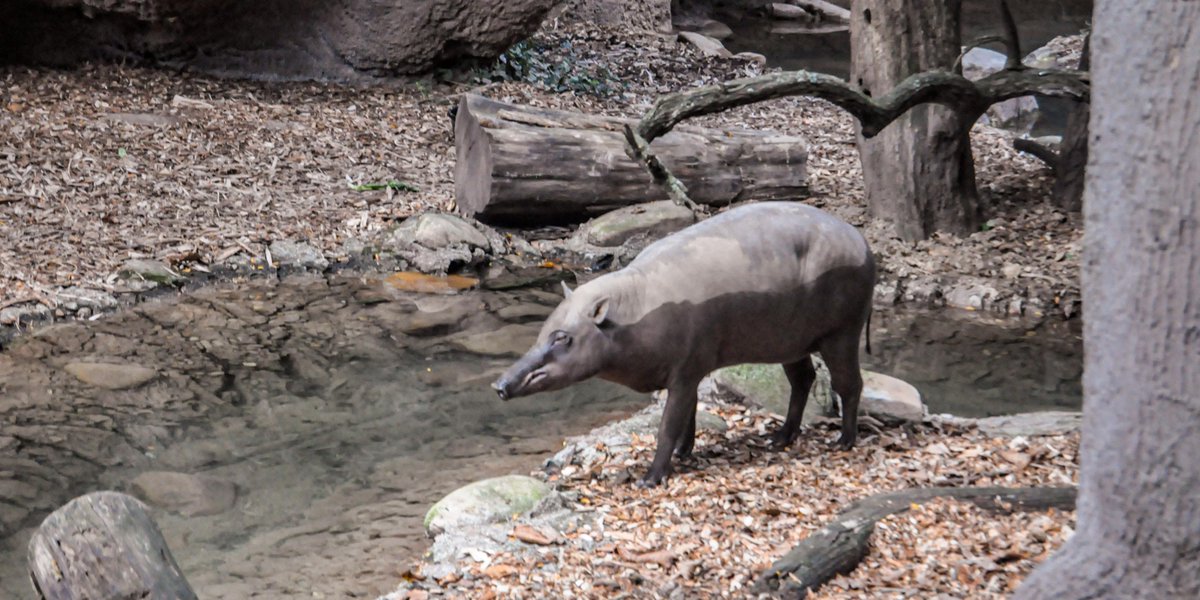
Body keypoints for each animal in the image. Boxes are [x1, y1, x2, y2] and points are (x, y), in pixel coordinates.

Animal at [492, 201, 875, 487]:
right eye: (544, 330)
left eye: (563, 338)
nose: (499, 385)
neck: (631, 314)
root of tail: (864, 244)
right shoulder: (690, 372)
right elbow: (689, 415)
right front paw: (684, 454)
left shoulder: (686, 369)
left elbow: (669, 424)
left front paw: (650, 479)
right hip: (790, 341)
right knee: (803, 379)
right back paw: (780, 438)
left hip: (842, 331)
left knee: (850, 384)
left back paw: (844, 442)